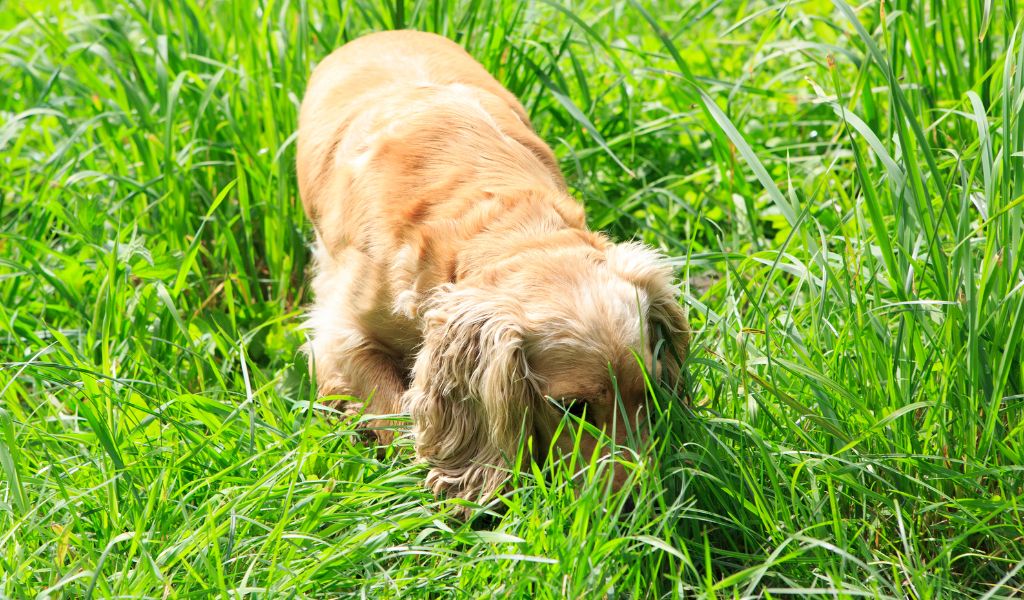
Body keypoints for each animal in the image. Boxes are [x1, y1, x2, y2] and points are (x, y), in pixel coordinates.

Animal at [294, 29, 688, 503]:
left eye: (648, 393)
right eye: (572, 408)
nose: (639, 506)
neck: (508, 227)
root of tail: (382, 33)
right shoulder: (339, 337)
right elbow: (392, 408)